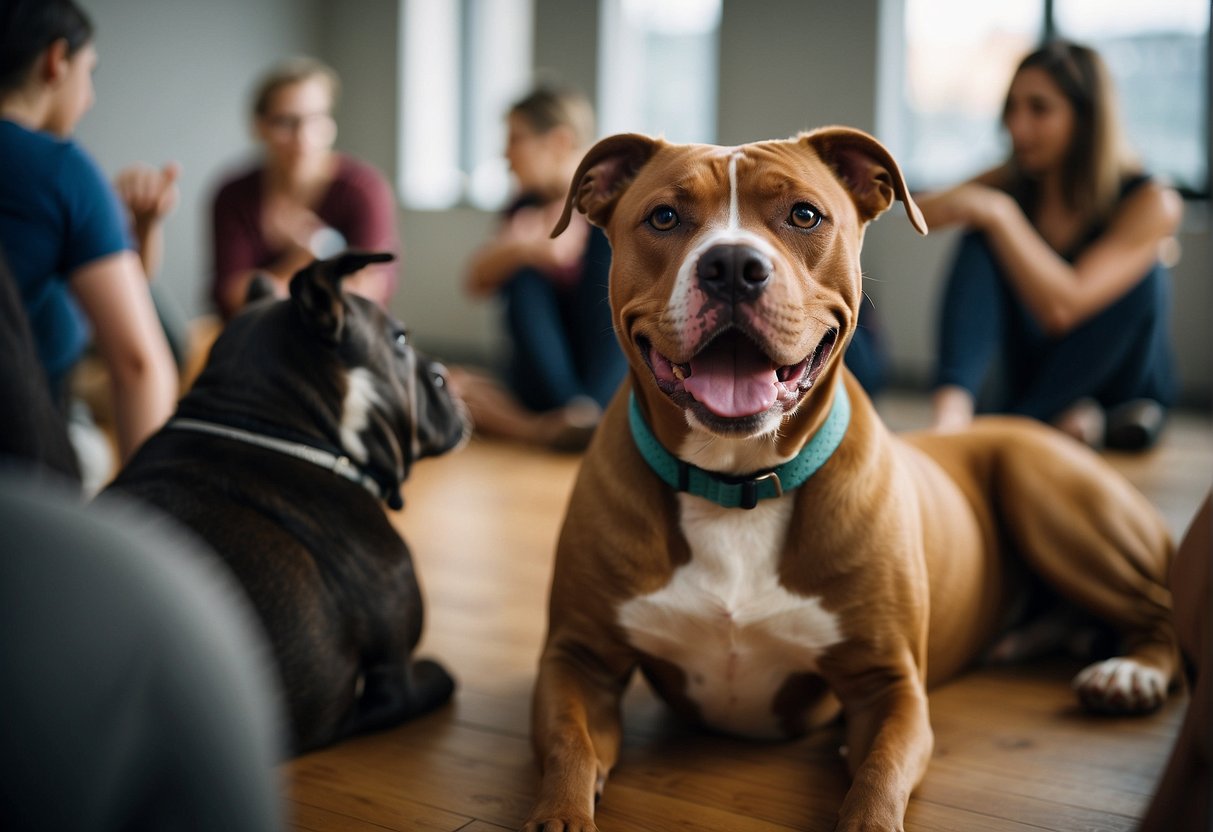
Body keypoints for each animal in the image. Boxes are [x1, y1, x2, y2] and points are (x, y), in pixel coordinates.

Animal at [526, 127, 1179, 829]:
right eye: (665, 217)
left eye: (804, 215)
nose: (732, 266)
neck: (737, 485)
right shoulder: (578, 659)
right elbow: (569, 743)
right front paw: (561, 814)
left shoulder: (888, 687)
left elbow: (876, 781)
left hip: (1049, 496)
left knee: (1161, 607)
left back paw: (1129, 673)